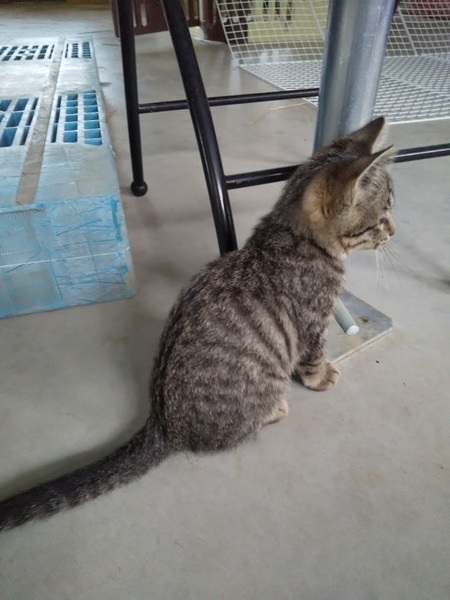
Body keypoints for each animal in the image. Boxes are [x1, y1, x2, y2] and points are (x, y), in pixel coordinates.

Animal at [0, 117, 396, 531]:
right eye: (382, 217)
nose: (395, 231)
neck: (292, 238)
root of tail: (163, 424)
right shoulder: (312, 320)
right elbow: (314, 354)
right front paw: (320, 377)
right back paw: (274, 410)